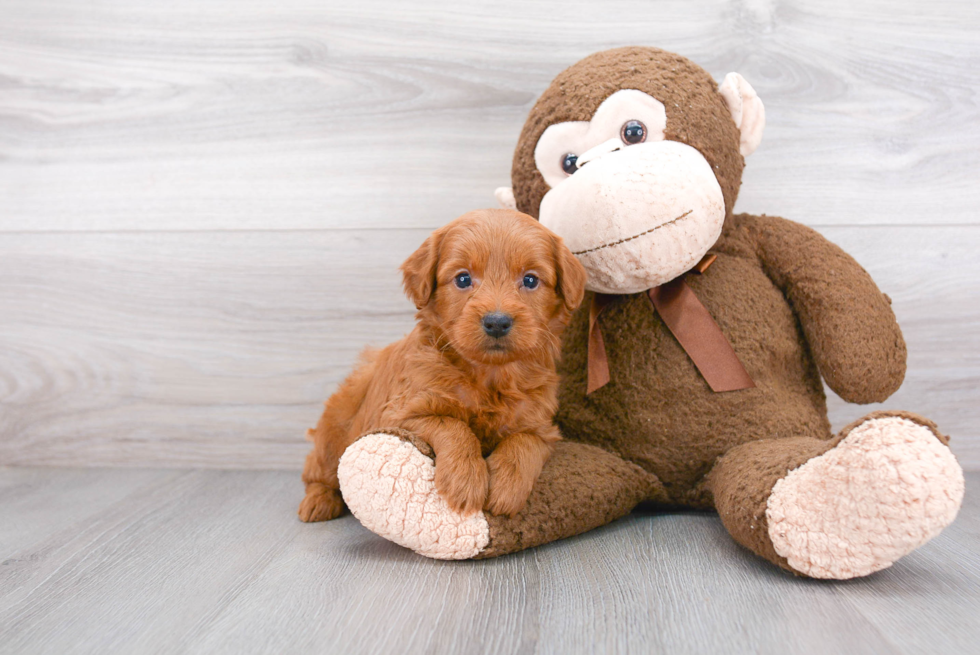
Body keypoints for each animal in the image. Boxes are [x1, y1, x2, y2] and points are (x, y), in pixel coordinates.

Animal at [298, 210, 584, 524]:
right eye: (463, 278)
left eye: (531, 280)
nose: (497, 322)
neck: (489, 375)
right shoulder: (400, 415)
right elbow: (453, 426)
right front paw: (465, 481)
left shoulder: (542, 427)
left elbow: (524, 442)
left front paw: (507, 487)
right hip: (334, 432)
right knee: (319, 471)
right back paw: (318, 501)